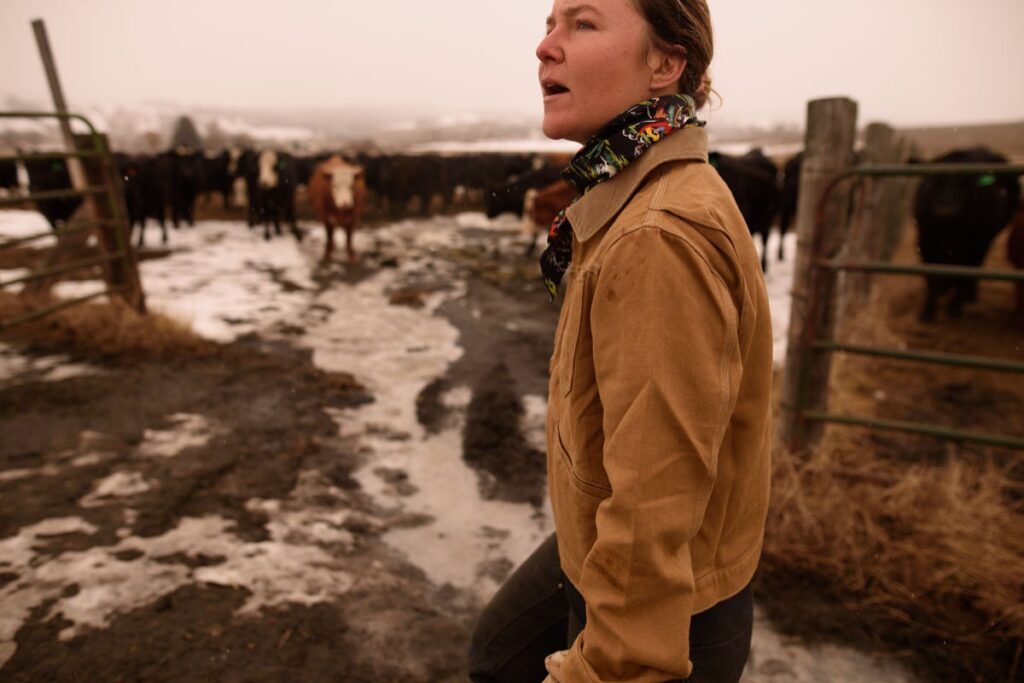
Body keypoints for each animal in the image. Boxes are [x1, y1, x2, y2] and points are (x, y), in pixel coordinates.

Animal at [917, 146, 1019, 321]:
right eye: (934, 180)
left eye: (964, 182)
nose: (945, 209)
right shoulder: (927, 244)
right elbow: (932, 278)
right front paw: (928, 312)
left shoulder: (975, 247)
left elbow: (963, 277)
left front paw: (954, 308)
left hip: (983, 245)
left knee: (972, 271)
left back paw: (969, 296)